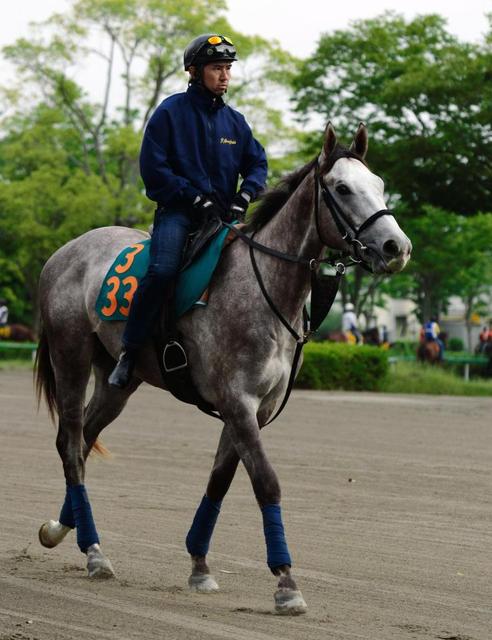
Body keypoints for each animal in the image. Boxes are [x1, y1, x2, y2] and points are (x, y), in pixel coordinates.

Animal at [34, 121, 412, 616]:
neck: (263, 288)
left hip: (118, 381)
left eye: (380, 184)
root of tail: (63, 253)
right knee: (70, 443)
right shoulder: (238, 402)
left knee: (83, 441)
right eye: (343, 188)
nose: (396, 246)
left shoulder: (255, 410)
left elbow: (220, 480)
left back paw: (64, 530)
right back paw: (95, 551)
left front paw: (199, 565)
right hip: (71, 357)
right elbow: (266, 482)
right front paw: (286, 582)